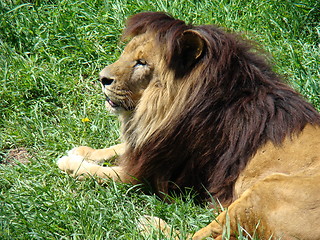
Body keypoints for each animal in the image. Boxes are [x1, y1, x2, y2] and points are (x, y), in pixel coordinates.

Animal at [58, 11, 320, 240]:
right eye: (126, 54)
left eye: (141, 63)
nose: (102, 78)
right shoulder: (156, 139)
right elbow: (121, 146)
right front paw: (84, 151)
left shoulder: (145, 176)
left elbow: (100, 172)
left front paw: (70, 163)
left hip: (265, 190)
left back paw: (149, 224)